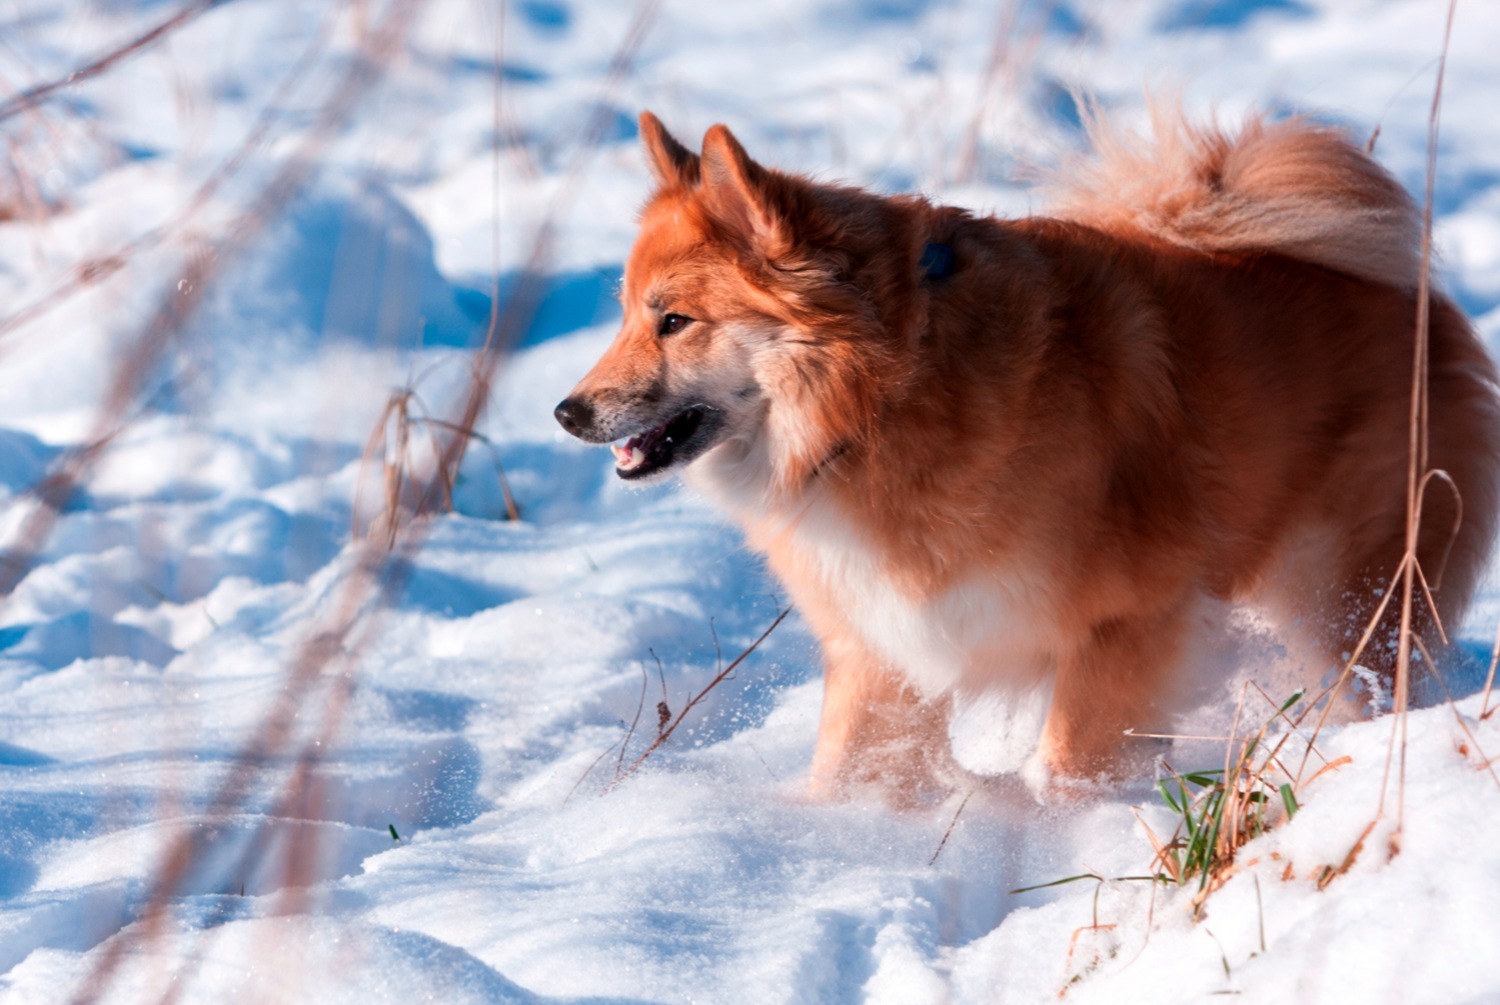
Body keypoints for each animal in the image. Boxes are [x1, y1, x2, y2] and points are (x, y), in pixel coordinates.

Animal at [555, 106, 1500, 810]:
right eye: (625, 313)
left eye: (673, 320)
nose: (568, 412)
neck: (891, 393)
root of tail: (1418, 301)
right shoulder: (883, 649)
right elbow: (849, 769)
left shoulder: (1125, 625)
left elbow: (1068, 770)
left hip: (1346, 596)